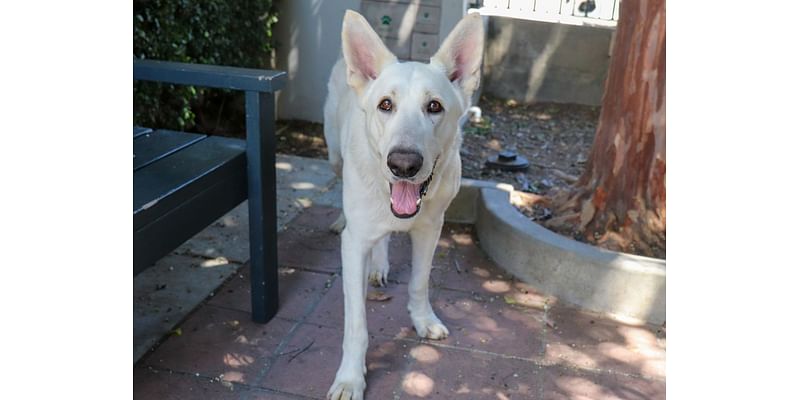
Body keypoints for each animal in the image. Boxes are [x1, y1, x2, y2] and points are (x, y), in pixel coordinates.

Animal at [322, 9, 484, 400]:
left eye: (434, 106)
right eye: (386, 105)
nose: (404, 165)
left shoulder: (430, 229)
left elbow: (419, 283)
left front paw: (423, 320)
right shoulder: (353, 246)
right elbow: (356, 325)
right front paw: (351, 377)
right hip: (334, 156)